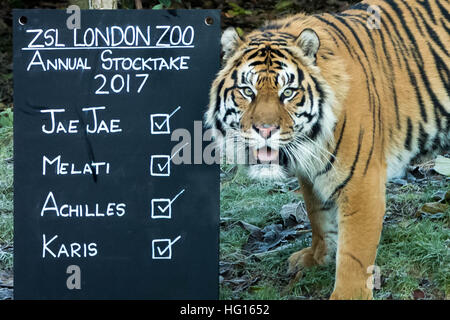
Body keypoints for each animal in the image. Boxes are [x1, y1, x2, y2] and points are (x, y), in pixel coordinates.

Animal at [205, 0, 450, 300]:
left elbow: (354, 253)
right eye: (247, 91)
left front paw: (347, 294)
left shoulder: (361, 184)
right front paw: (317, 258)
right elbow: (319, 217)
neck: (312, 140)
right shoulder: (311, 174)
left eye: (287, 93)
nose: (265, 130)